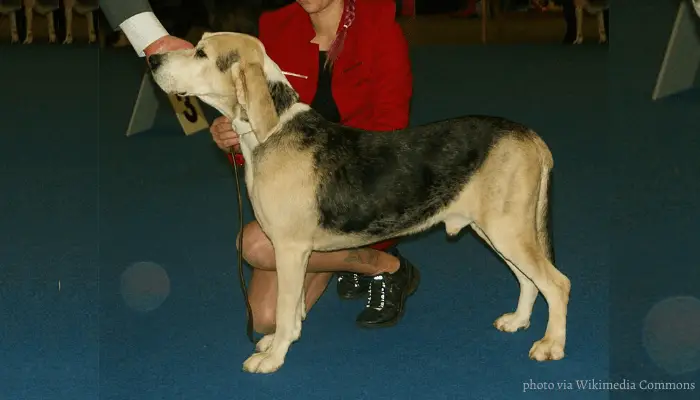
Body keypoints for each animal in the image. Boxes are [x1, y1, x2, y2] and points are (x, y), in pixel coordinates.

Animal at [148, 32, 568, 376]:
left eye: (201, 52)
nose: (153, 60)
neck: (271, 131)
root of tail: (531, 136)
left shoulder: (289, 249)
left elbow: (284, 308)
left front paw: (273, 357)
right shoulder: (294, 252)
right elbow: (294, 308)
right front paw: (283, 340)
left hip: (508, 230)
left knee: (556, 284)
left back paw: (551, 344)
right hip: (497, 231)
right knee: (529, 281)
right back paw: (518, 321)